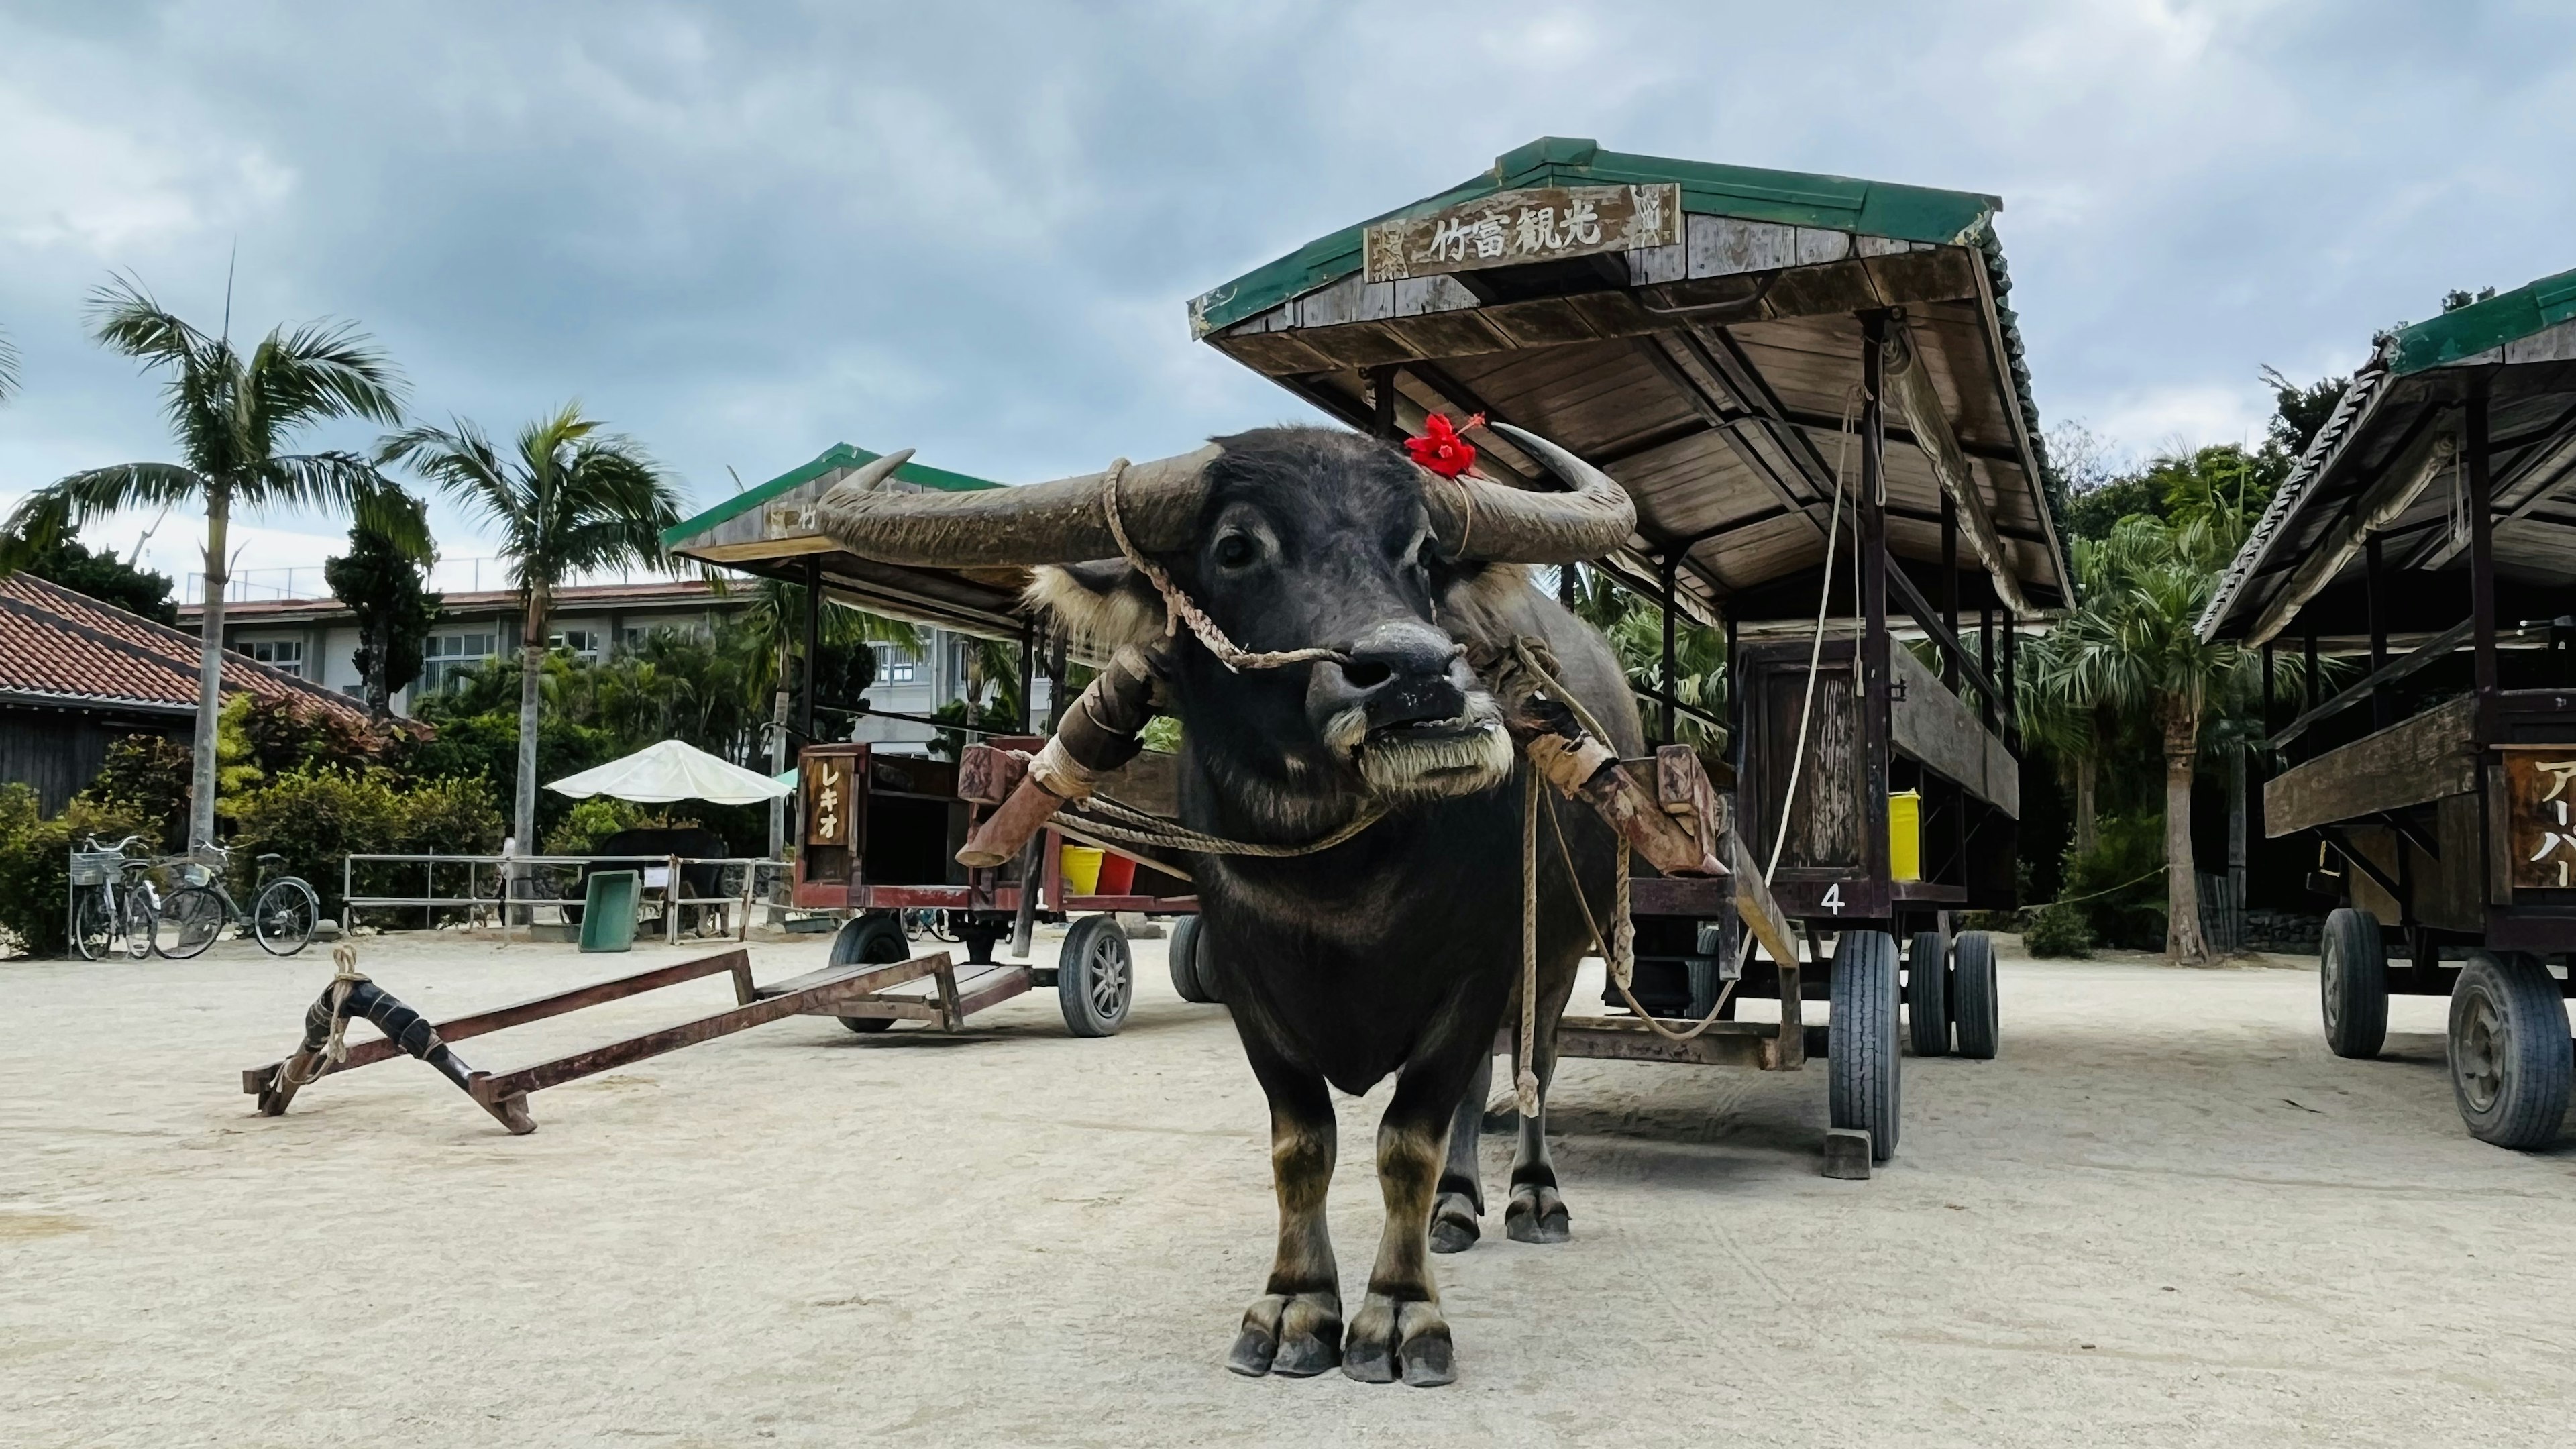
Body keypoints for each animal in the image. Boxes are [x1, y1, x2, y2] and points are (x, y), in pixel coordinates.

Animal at [814, 423, 1638, 1382]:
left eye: (1425, 556)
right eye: (1237, 548)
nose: (1419, 676)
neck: (1339, 874)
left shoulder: (1476, 972)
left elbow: (1408, 1139)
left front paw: (1401, 1315)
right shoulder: (1247, 985)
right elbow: (1302, 1144)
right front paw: (1295, 1307)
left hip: (1563, 952)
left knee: (1535, 1064)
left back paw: (1534, 1201)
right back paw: (1457, 1209)